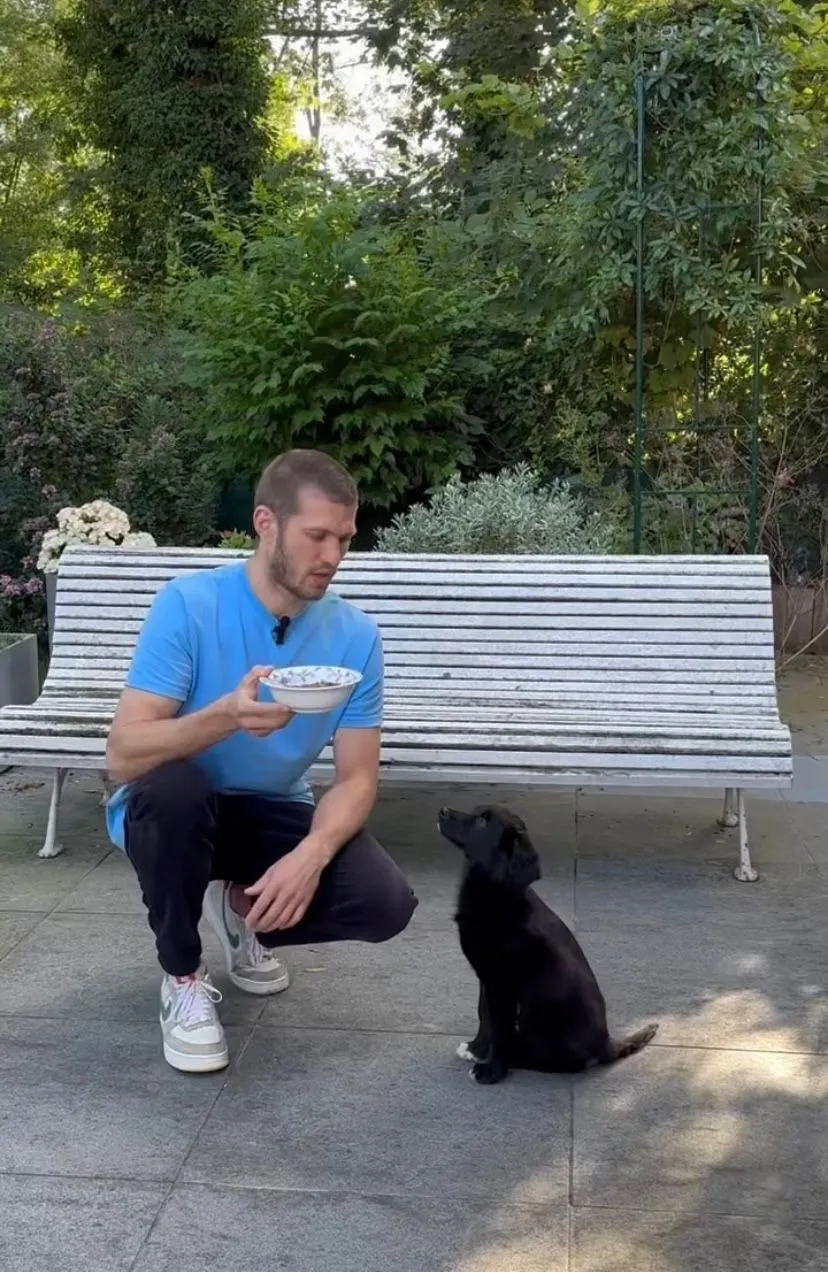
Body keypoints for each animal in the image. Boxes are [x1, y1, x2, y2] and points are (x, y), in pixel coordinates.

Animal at [438, 802, 658, 1084]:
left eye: (482, 822)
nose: (442, 811)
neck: (496, 892)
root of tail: (607, 1043)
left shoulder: (502, 983)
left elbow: (498, 1025)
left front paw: (492, 1069)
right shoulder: (486, 977)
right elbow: (483, 1013)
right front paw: (477, 1049)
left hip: (537, 1011)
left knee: (568, 1062)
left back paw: (517, 1056)